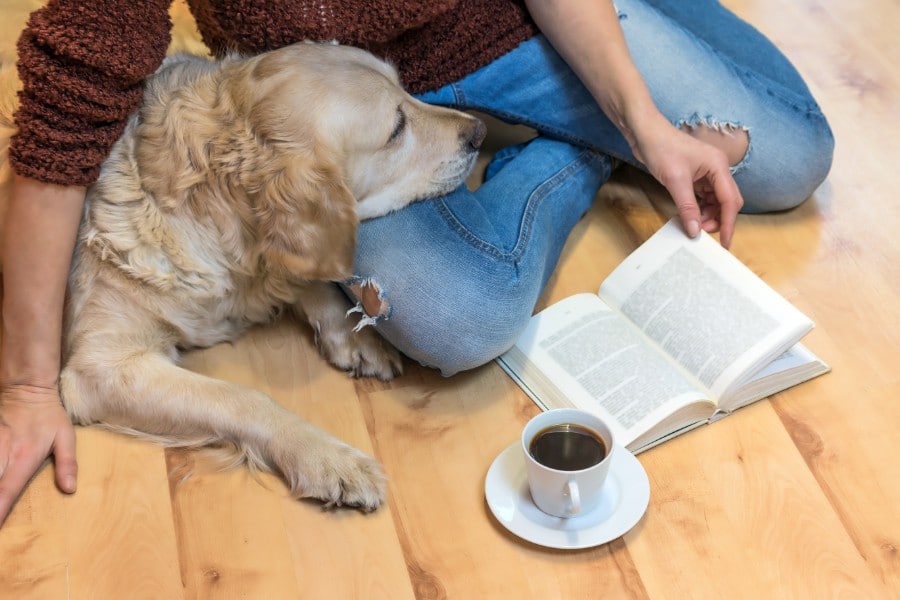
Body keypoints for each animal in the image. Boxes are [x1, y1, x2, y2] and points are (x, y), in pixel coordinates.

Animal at [1, 42, 486, 510]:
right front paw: (326, 456)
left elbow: (303, 273)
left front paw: (355, 334)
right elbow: (243, 398)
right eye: (396, 128)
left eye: (404, 87)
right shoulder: (101, 367)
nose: (479, 132)